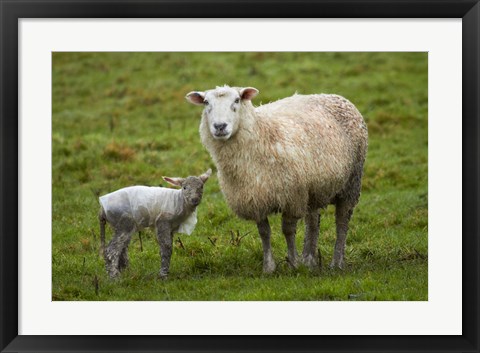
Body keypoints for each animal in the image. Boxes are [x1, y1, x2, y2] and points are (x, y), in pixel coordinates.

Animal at [187, 85, 368, 272]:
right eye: (206, 102)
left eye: (237, 100)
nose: (220, 126)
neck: (262, 134)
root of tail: (334, 96)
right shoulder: (255, 199)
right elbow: (264, 232)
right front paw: (269, 267)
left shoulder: (292, 198)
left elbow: (288, 230)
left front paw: (293, 264)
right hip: (313, 188)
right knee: (312, 221)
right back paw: (309, 260)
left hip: (351, 183)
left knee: (342, 222)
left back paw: (336, 263)